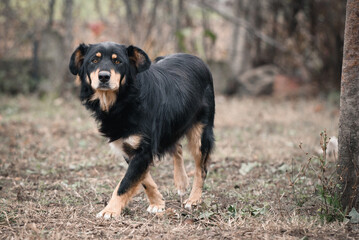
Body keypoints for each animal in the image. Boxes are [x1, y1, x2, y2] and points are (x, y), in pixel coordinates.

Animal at [70, 41, 215, 219]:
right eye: (93, 60)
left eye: (118, 61)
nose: (103, 76)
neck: (123, 101)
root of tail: (196, 58)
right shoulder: (127, 146)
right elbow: (143, 179)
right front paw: (157, 203)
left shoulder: (143, 148)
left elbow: (125, 183)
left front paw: (109, 210)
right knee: (177, 147)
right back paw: (181, 181)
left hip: (200, 133)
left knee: (201, 168)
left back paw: (194, 199)